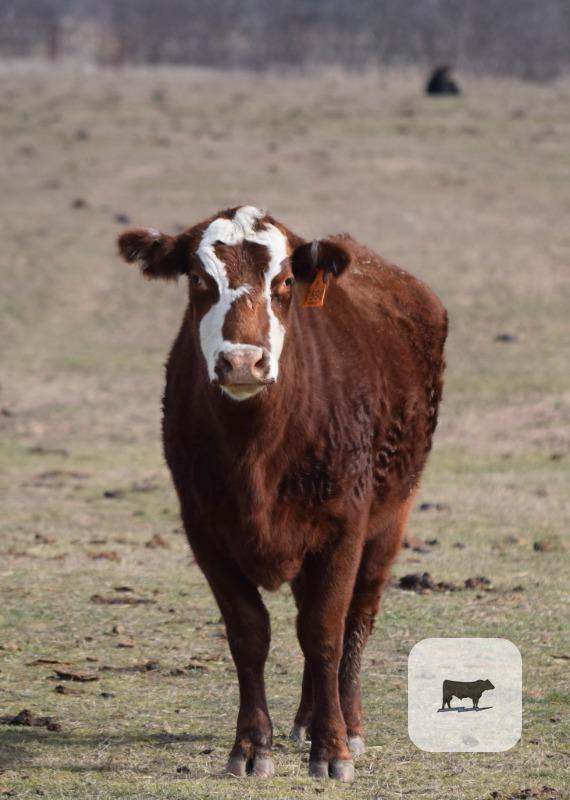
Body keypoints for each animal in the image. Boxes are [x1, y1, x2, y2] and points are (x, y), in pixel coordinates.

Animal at [117, 205, 447, 781]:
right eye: (199, 279)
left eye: (286, 281)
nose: (242, 363)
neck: (256, 454)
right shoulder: (205, 530)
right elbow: (251, 633)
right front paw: (252, 746)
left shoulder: (344, 527)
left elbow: (325, 631)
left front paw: (333, 749)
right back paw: (306, 719)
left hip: (392, 516)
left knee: (357, 617)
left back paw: (348, 722)